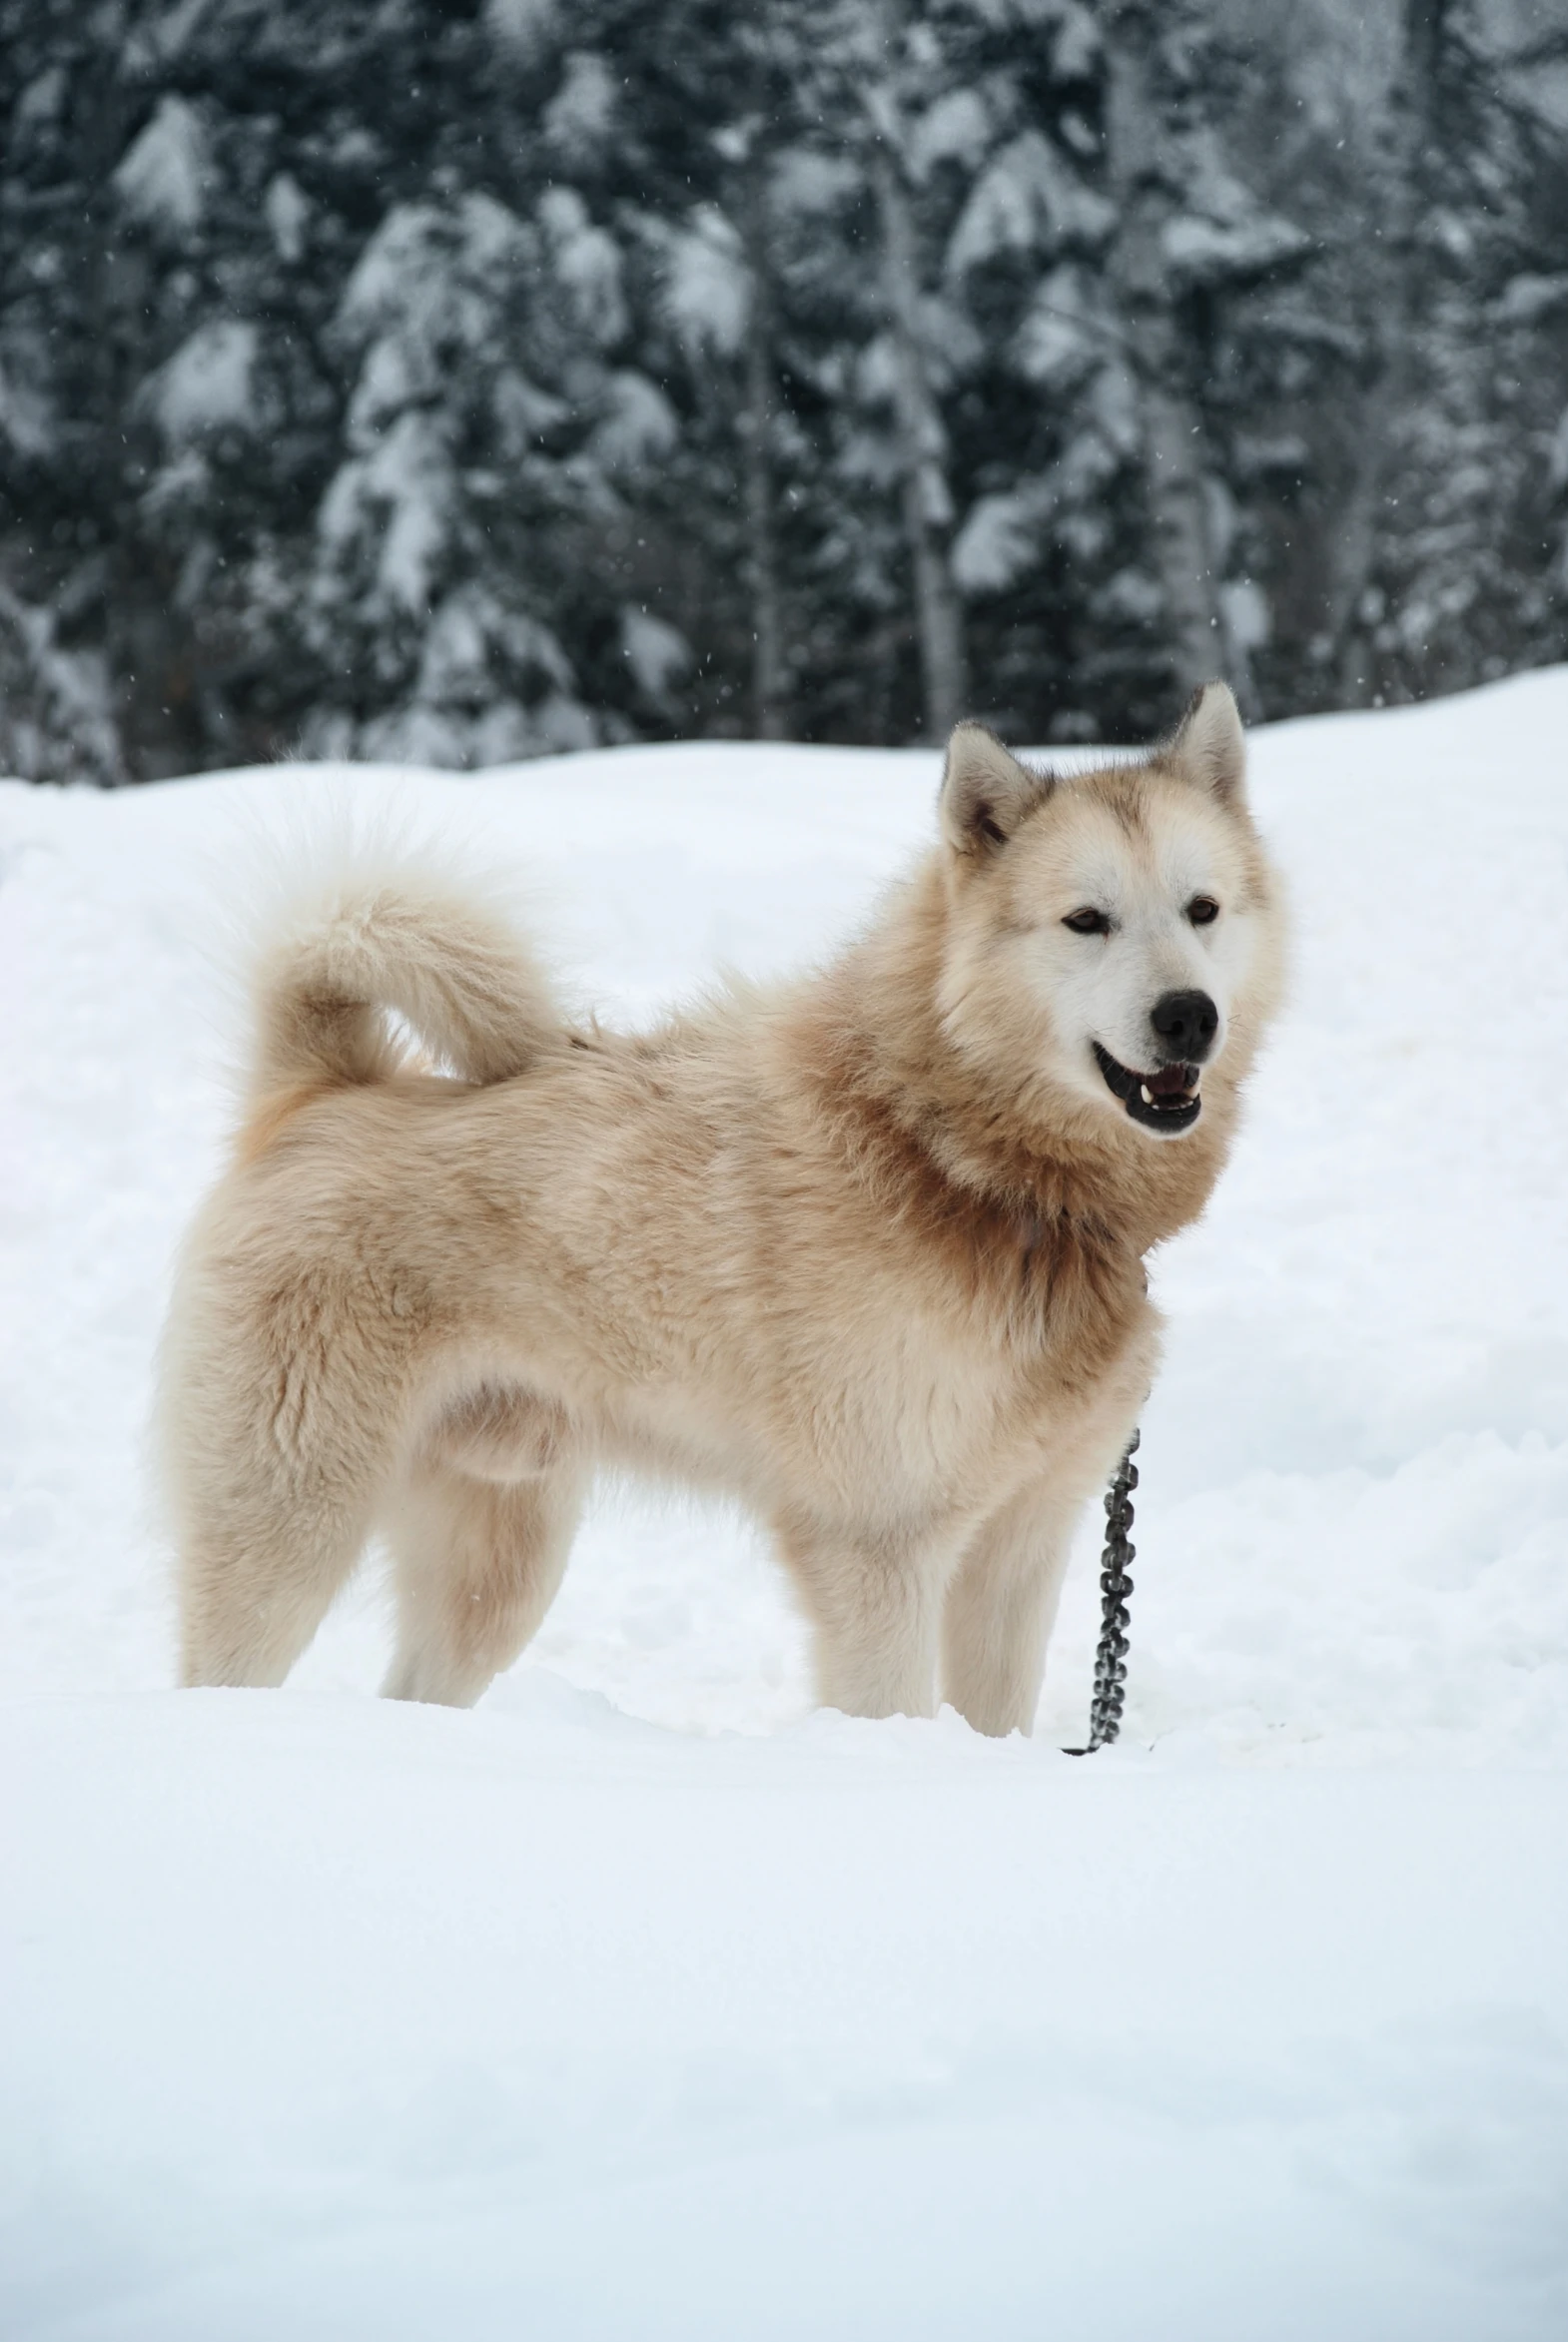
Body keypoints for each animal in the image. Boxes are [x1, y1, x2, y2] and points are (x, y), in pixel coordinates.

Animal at [159, 683, 1291, 1733]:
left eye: (1201, 908)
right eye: (1086, 920)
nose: (1189, 1017)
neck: (962, 1163)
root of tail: (319, 1092)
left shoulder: (1021, 1546)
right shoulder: (879, 1545)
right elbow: (892, 1707)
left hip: (497, 1566)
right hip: (290, 1535)